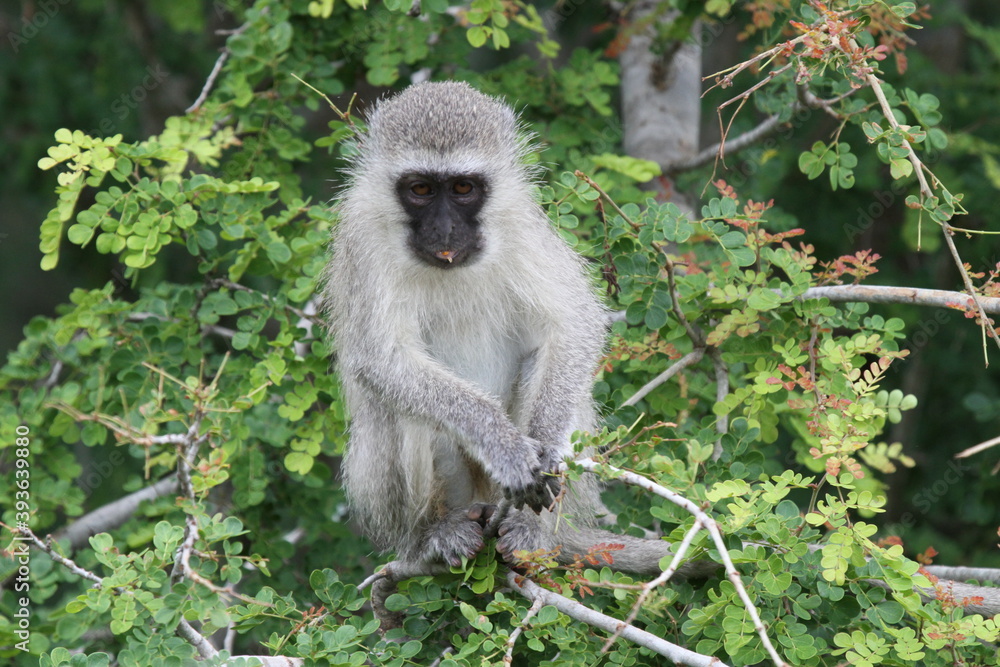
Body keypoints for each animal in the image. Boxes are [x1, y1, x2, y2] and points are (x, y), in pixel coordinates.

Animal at [323, 80, 687, 576]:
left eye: (463, 187)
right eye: (420, 189)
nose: (444, 230)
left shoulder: (521, 220)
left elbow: (573, 322)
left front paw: (546, 449)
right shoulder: (362, 236)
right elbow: (381, 360)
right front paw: (505, 447)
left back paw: (533, 529)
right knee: (399, 406)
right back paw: (435, 532)